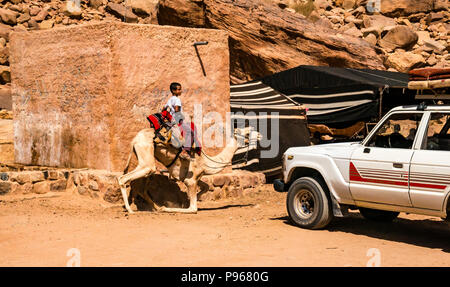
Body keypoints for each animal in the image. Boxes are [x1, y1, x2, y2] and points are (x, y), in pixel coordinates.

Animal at [117, 124, 260, 214]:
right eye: (247, 132)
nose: (259, 134)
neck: (206, 161)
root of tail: (135, 139)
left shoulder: (195, 177)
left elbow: (206, 187)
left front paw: (184, 201)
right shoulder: (190, 180)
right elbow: (193, 208)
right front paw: (169, 207)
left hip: (144, 162)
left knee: (140, 187)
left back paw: (154, 207)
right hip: (147, 159)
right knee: (123, 179)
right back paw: (131, 210)